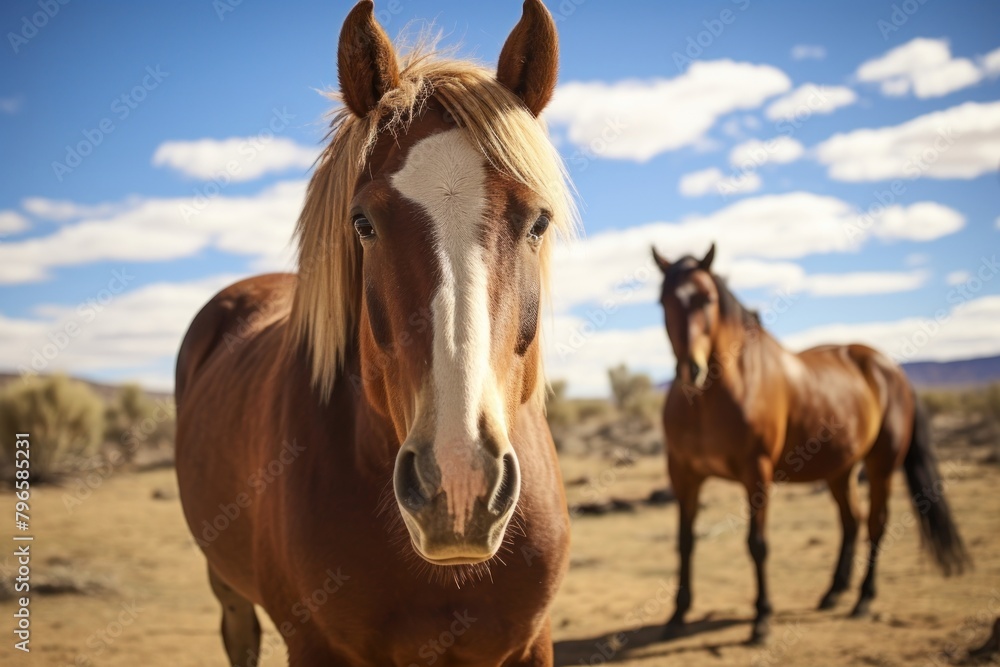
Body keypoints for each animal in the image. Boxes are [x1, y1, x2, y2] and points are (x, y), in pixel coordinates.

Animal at [176, 2, 576, 664]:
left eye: (538, 221)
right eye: (363, 223)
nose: (459, 481)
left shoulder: (533, 643)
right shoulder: (313, 645)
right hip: (226, 585)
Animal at [648, 243, 968, 644]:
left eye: (707, 298)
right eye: (663, 301)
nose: (692, 370)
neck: (713, 397)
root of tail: (891, 370)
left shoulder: (757, 473)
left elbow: (757, 544)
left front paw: (762, 619)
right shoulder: (683, 474)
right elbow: (685, 542)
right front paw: (677, 614)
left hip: (880, 466)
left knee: (876, 523)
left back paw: (863, 599)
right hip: (839, 470)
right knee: (852, 521)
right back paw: (833, 592)